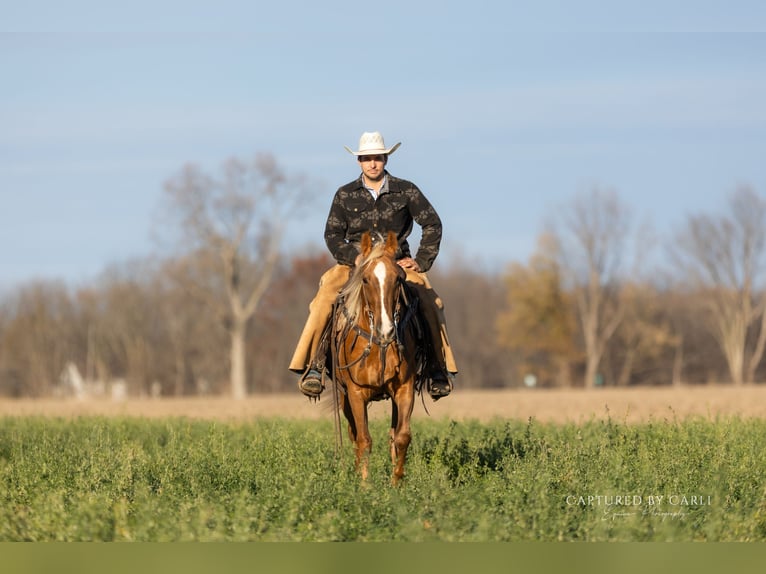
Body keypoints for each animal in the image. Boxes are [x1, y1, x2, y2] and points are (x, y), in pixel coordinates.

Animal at [329, 230, 423, 484]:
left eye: (399, 278)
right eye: (365, 279)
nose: (386, 330)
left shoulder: (404, 388)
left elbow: (402, 437)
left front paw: (396, 483)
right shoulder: (355, 393)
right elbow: (364, 439)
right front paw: (364, 485)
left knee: (393, 434)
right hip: (344, 397)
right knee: (353, 434)